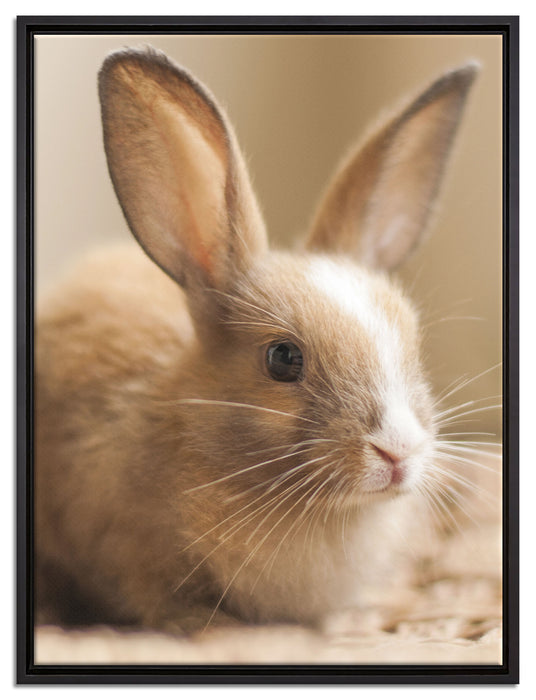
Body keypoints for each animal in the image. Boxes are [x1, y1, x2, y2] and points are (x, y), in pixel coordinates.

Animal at [35, 46, 478, 634]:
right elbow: (156, 599)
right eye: (283, 359)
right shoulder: (124, 550)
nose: (398, 450)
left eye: (413, 343)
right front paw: (205, 625)